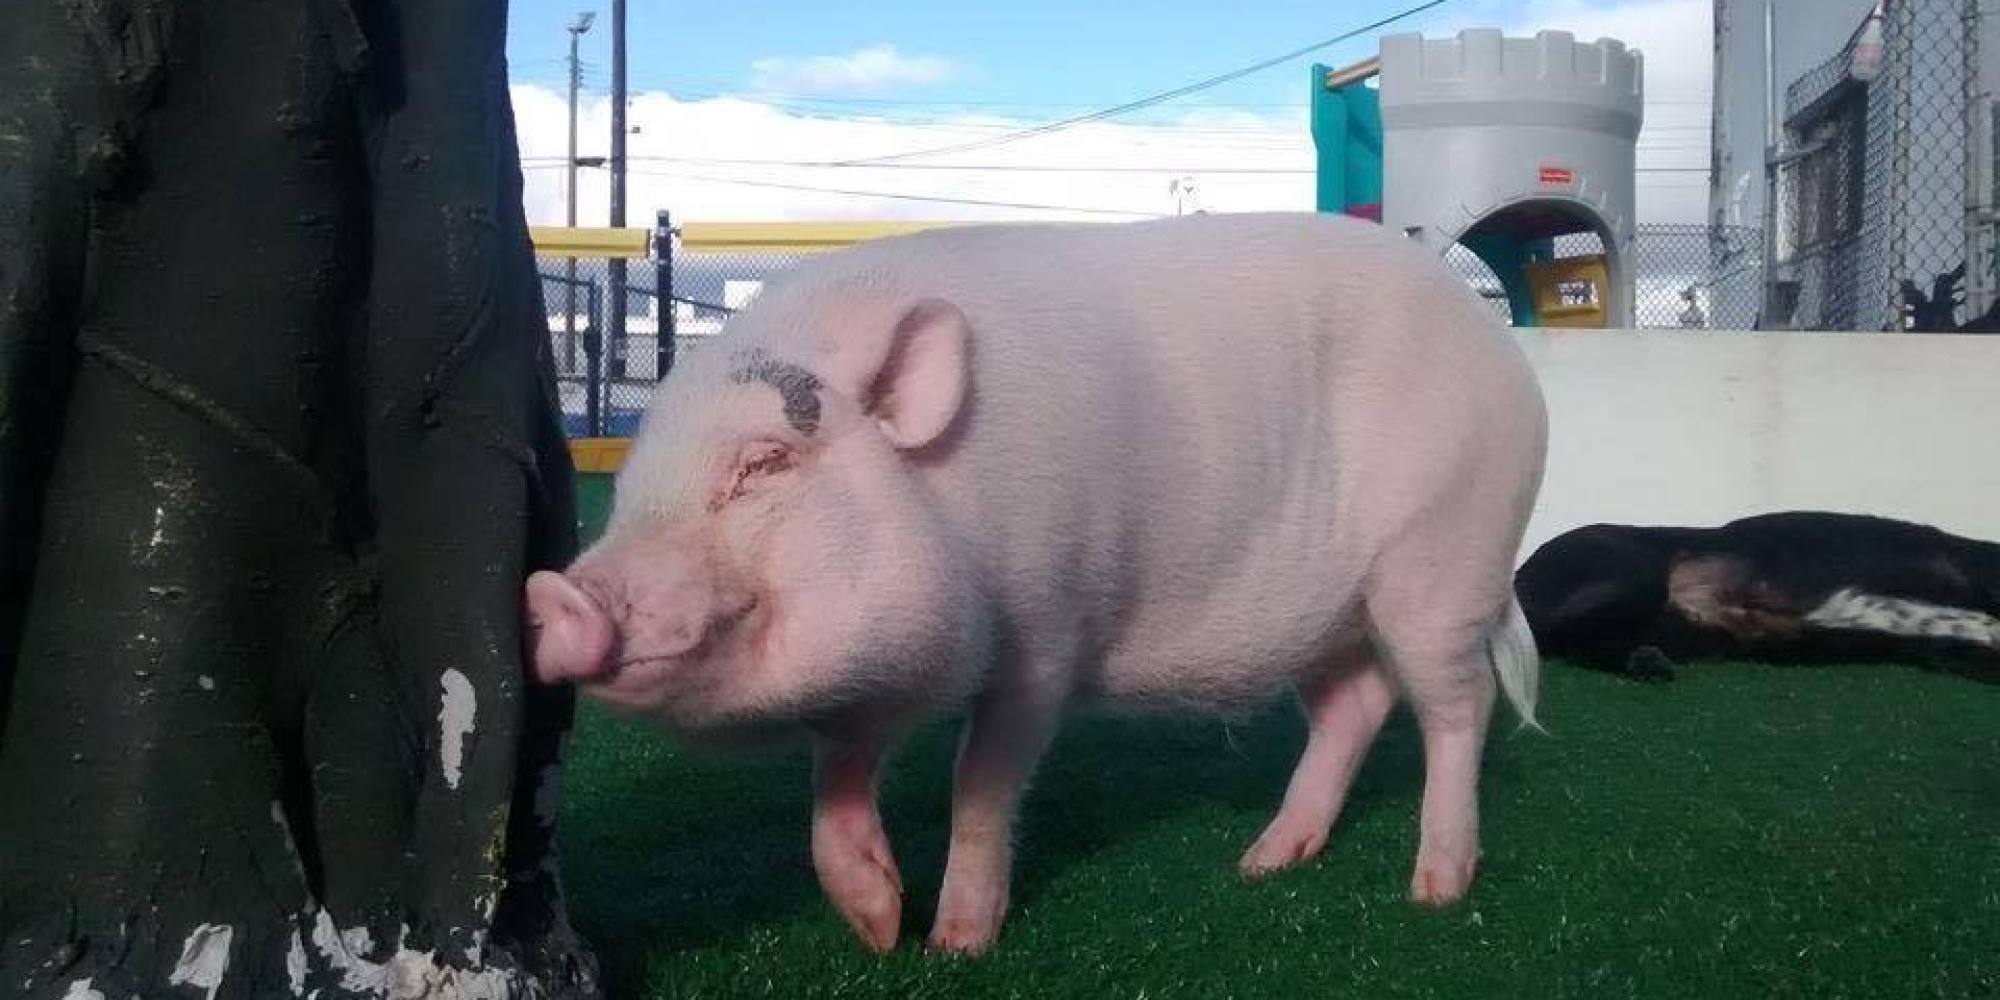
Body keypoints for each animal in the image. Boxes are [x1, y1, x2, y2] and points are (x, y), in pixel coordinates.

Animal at [525, 211, 1548, 955]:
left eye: (765, 463)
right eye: (631, 480)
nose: (556, 596)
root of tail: (1501, 353)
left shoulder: (1048, 626)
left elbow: (981, 781)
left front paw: (954, 946)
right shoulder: (886, 663)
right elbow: (837, 773)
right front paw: (878, 927)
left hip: (1443, 555)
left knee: (1459, 704)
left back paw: (1434, 889)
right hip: (1336, 608)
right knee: (1356, 704)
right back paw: (1262, 864)